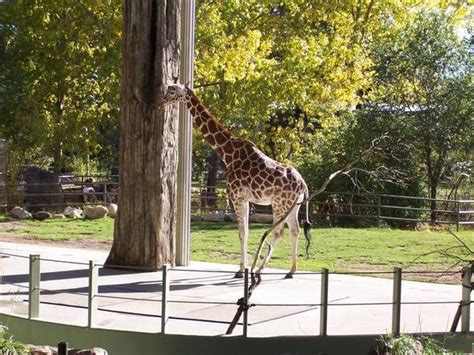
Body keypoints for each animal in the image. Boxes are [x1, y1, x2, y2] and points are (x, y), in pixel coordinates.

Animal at [159, 85, 312, 280]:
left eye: (172, 91)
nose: (160, 103)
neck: (228, 153)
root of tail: (303, 185)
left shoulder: (237, 197)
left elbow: (242, 232)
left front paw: (240, 270)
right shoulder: (244, 199)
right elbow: (245, 232)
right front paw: (243, 268)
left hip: (279, 204)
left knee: (278, 231)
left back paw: (260, 270)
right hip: (293, 206)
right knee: (295, 230)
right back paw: (291, 271)